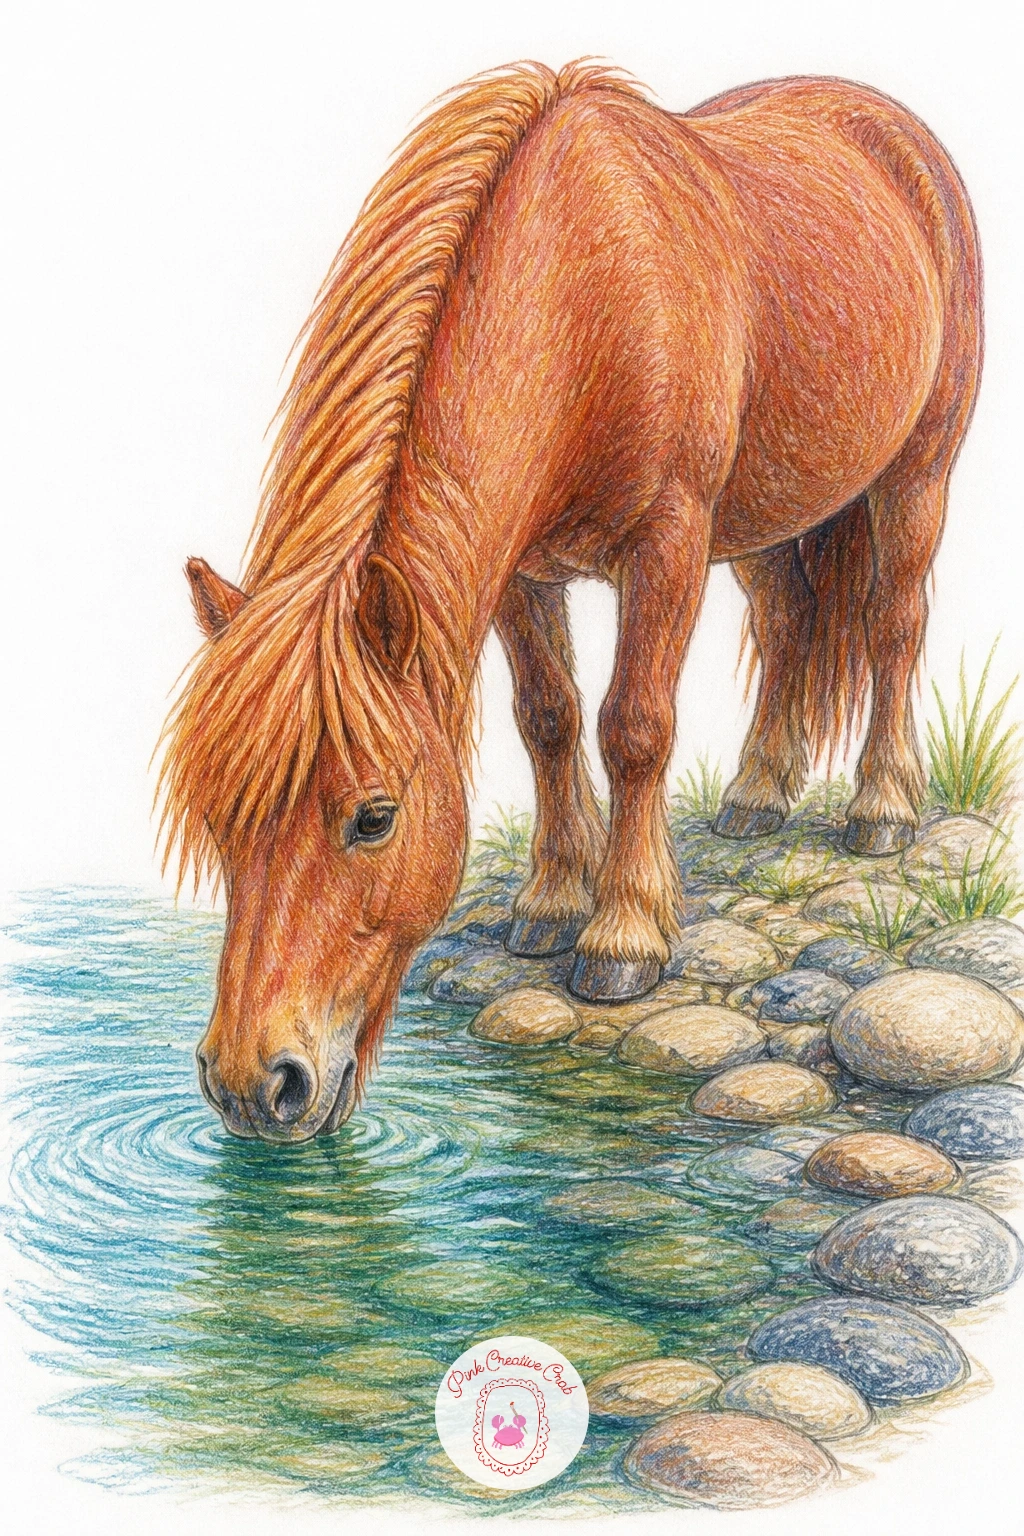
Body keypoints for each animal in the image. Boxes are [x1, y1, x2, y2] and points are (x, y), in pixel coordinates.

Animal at [160, 61, 982, 1142]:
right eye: (219, 815)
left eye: (374, 818)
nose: (254, 1085)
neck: (586, 296)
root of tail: (887, 124)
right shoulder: (523, 571)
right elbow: (548, 720)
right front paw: (550, 904)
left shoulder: (667, 544)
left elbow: (633, 726)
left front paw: (623, 935)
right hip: (767, 510)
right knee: (789, 622)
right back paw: (756, 797)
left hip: (915, 474)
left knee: (893, 625)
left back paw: (881, 809)